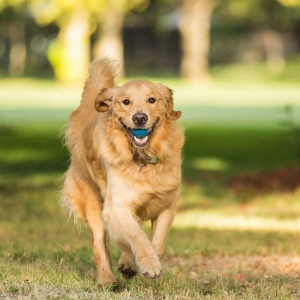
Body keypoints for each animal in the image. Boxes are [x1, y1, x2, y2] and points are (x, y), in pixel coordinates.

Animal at [62, 57, 184, 284]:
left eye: (152, 100)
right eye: (126, 102)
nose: (139, 118)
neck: (143, 159)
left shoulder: (167, 203)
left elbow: (157, 240)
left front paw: (148, 259)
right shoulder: (116, 206)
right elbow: (137, 236)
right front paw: (149, 264)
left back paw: (127, 264)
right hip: (92, 199)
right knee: (100, 241)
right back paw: (106, 278)